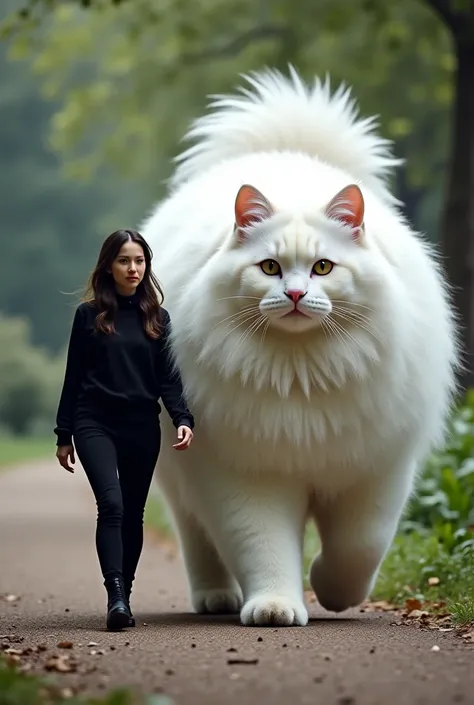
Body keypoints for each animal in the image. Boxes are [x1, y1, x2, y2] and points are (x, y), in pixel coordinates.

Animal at [141, 67, 460, 628]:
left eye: (323, 268)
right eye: (269, 267)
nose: (293, 294)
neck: (302, 370)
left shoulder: (376, 472)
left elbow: (360, 548)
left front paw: (330, 591)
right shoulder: (246, 474)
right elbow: (263, 545)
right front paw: (274, 607)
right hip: (181, 481)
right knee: (198, 543)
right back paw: (216, 598)